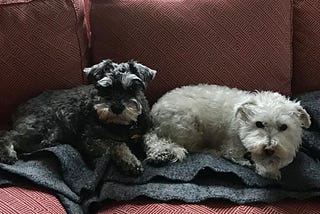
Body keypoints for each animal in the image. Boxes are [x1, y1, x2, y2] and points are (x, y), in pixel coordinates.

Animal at [0, 59, 156, 176]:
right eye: (105, 88)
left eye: (132, 88)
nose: (116, 108)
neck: (121, 124)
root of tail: (20, 108)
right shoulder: (90, 140)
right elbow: (116, 144)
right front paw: (131, 162)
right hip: (40, 127)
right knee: (7, 135)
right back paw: (8, 154)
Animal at [144, 84, 310, 180]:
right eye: (259, 124)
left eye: (283, 127)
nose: (269, 149)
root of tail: (154, 116)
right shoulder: (231, 146)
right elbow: (234, 156)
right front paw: (263, 168)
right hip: (187, 124)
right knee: (192, 147)